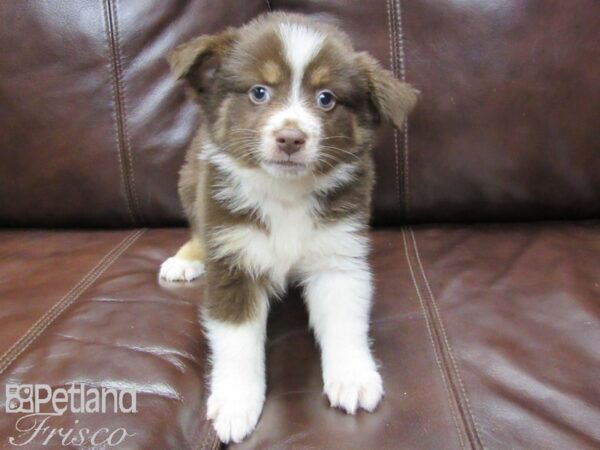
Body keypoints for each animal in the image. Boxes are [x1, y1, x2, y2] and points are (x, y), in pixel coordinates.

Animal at [159, 12, 418, 444]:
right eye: (259, 92)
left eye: (326, 98)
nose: (290, 138)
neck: (285, 194)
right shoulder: (232, 258)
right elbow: (237, 340)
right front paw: (236, 401)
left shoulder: (338, 255)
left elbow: (345, 322)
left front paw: (352, 376)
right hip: (190, 180)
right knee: (196, 227)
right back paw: (186, 259)